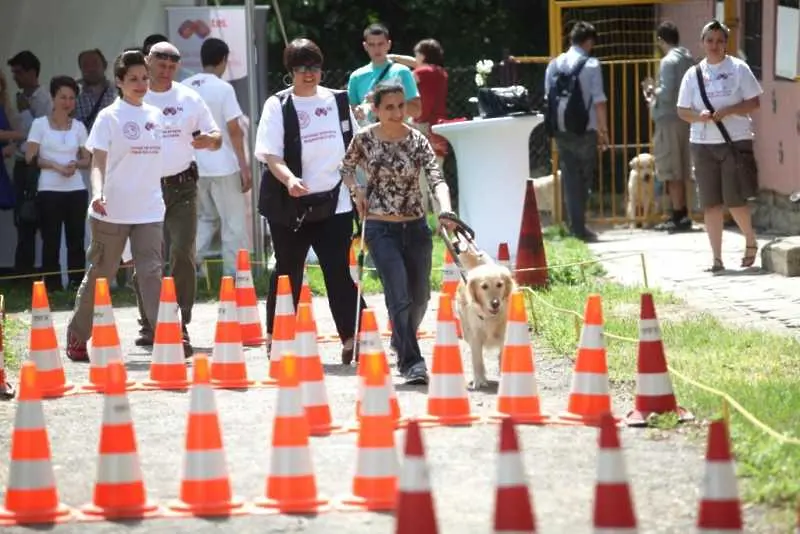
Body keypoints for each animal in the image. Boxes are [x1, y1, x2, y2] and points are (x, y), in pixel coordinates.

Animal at [454, 247, 516, 390]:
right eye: (484, 286)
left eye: (499, 284)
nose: (495, 303)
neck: (490, 316)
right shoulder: (475, 337)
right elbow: (477, 360)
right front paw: (478, 381)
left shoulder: (505, 336)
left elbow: (503, 357)